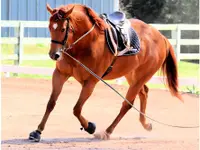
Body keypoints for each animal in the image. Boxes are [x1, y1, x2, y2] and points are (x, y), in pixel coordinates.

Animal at [28, 3, 183, 141]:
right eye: (50, 27)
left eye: (63, 29)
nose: (54, 55)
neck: (85, 43)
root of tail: (162, 38)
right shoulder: (60, 74)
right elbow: (51, 103)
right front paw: (37, 132)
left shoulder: (91, 81)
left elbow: (77, 109)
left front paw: (90, 127)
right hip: (132, 74)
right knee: (143, 93)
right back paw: (146, 124)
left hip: (142, 76)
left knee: (127, 104)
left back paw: (107, 132)